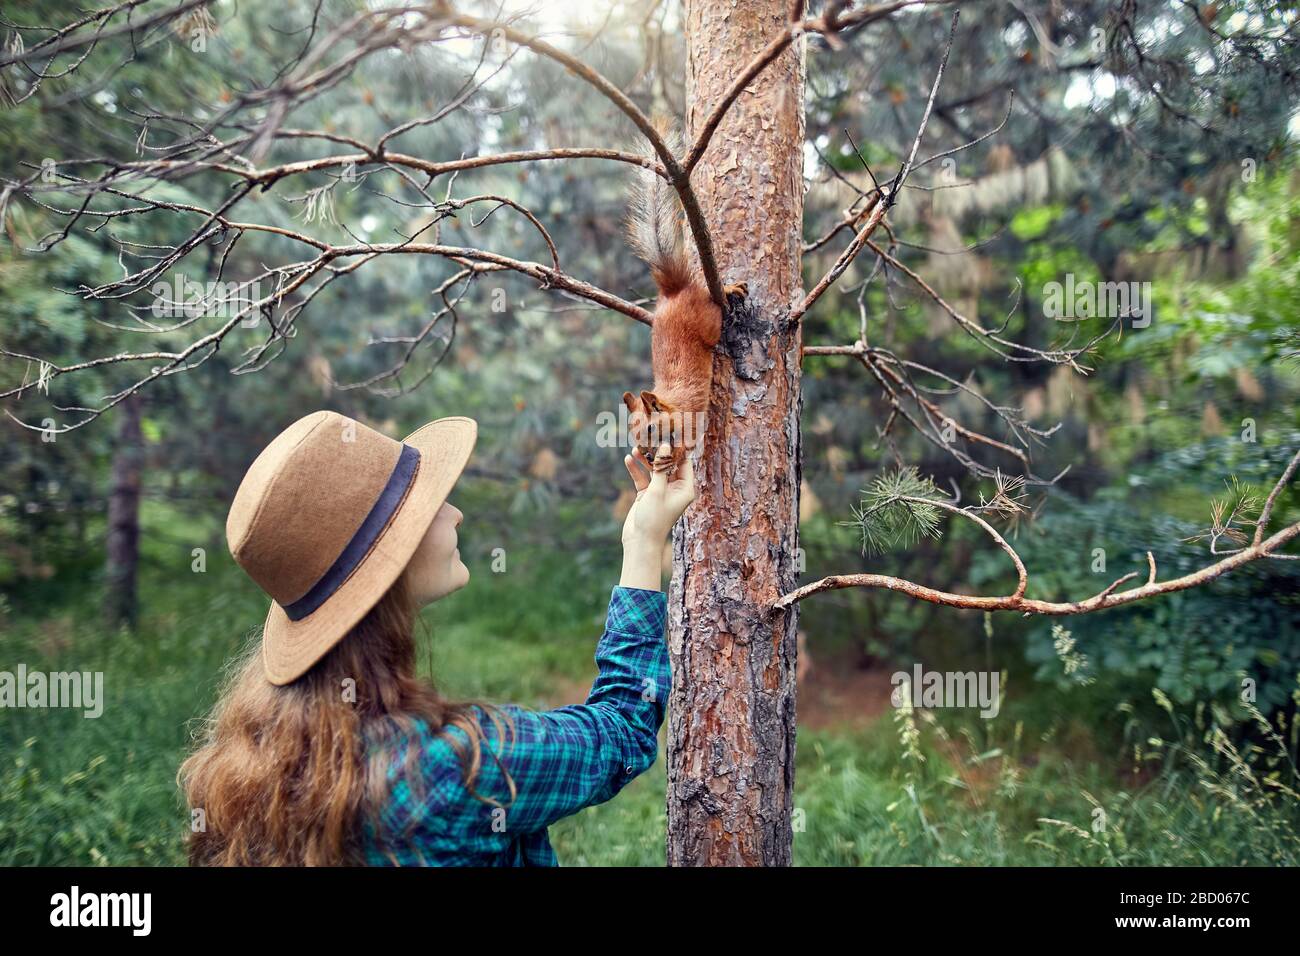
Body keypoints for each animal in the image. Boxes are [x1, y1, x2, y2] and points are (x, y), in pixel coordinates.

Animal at [624, 128, 748, 478]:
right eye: (632, 434)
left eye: (651, 429)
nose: (646, 454)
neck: (672, 405)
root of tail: (673, 292)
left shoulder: (690, 417)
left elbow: (689, 442)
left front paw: (672, 457)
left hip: (709, 321)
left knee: (714, 305)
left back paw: (728, 289)